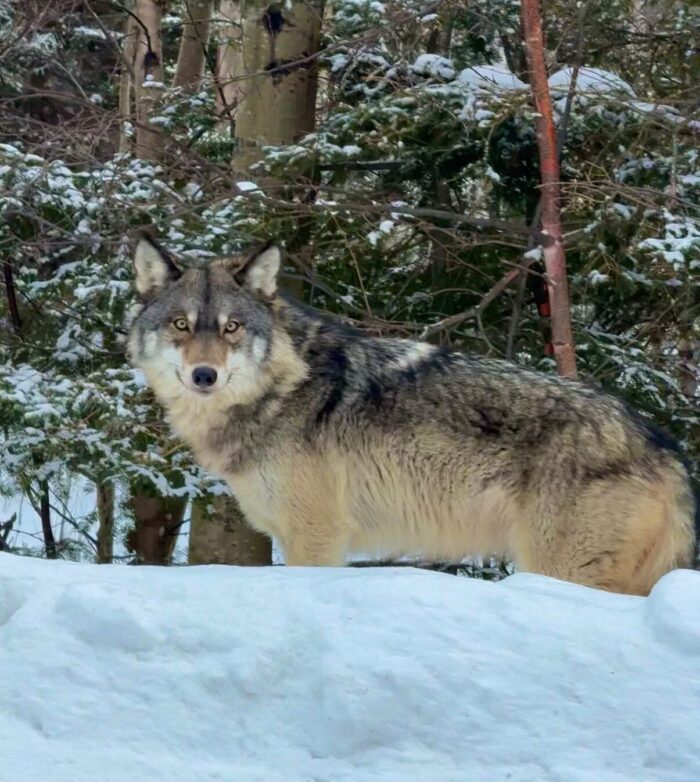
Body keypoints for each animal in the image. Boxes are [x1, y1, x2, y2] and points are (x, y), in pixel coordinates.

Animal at [127, 235, 696, 595]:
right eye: (181, 325)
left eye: (231, 328)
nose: (204, 375)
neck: (280, 389)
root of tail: (663, 445)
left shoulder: (316, 537)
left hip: (560, 569)